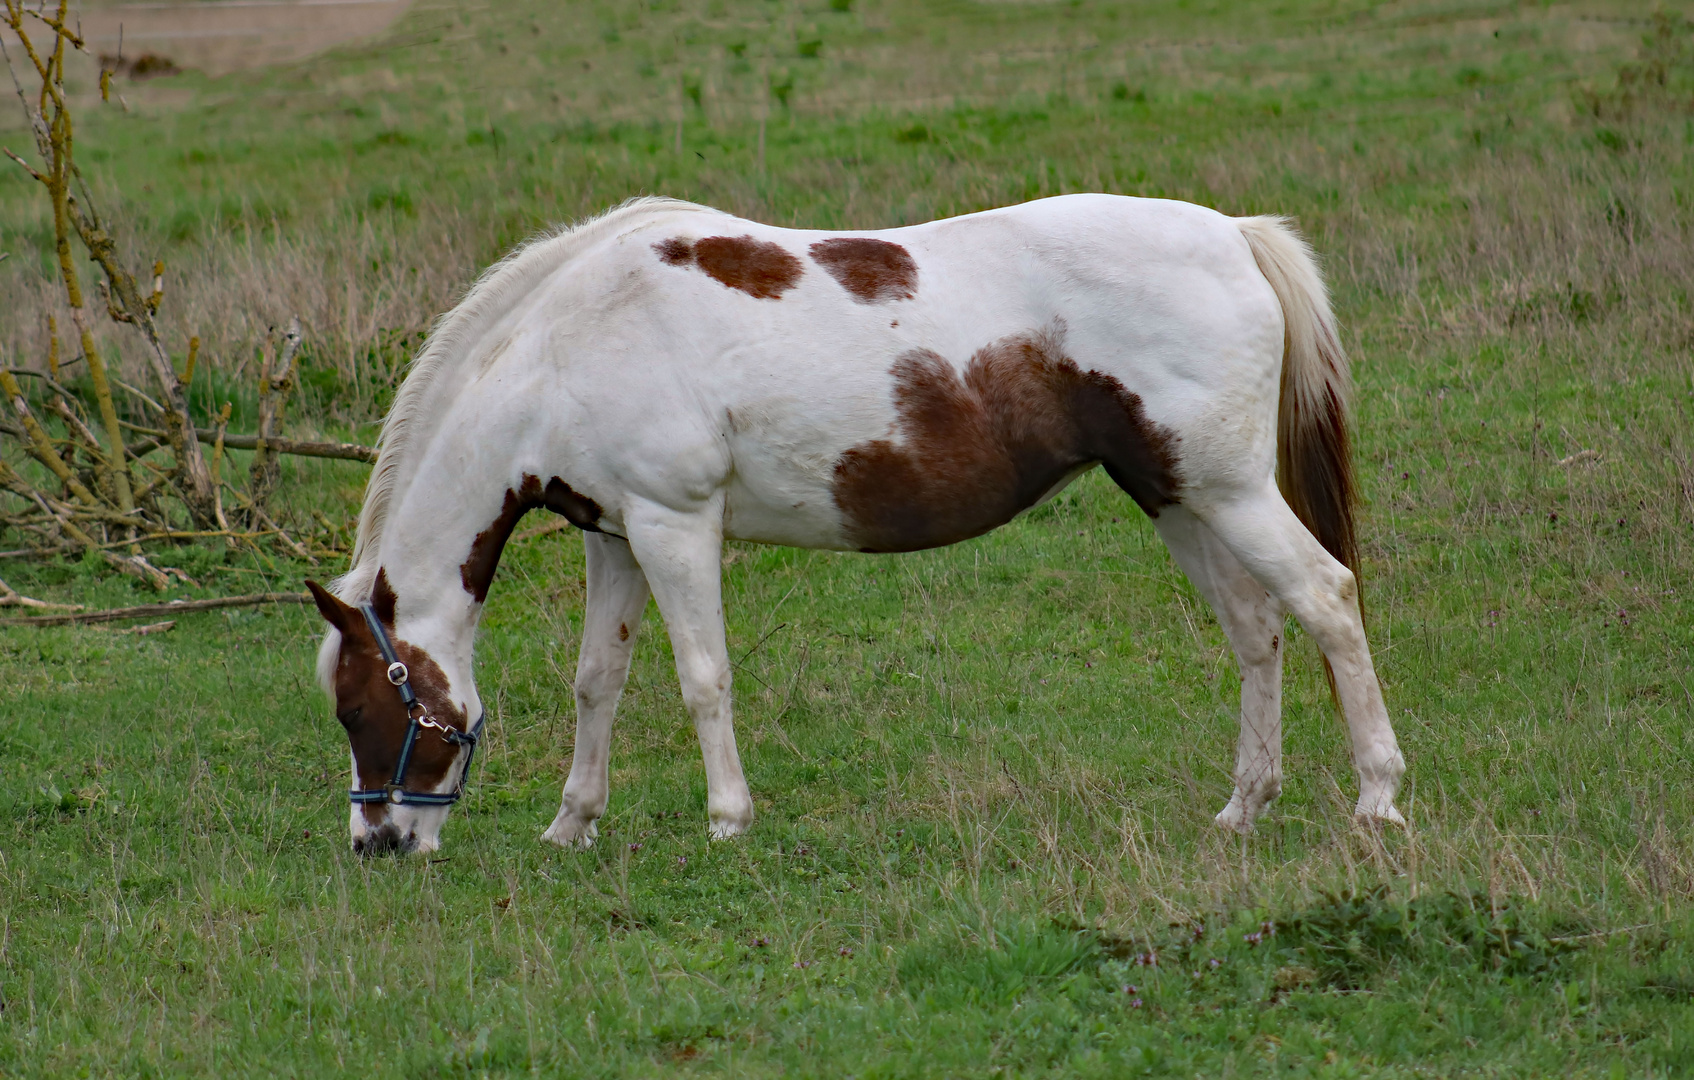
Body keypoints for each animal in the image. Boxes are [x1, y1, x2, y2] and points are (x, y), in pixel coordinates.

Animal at [304, 192, 1402, 853]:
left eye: (359, 709)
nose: (378, 844)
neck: (569, 343)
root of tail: (1233, 232)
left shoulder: (673, 525)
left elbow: (702, 679)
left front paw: (727, 821)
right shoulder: (613, 536)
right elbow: (596, 684)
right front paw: (573, 825)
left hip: (1229, 491)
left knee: (1325, 600)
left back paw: (1377, 798)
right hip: (1175, 494)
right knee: (1256, 629)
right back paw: (1243, 807)